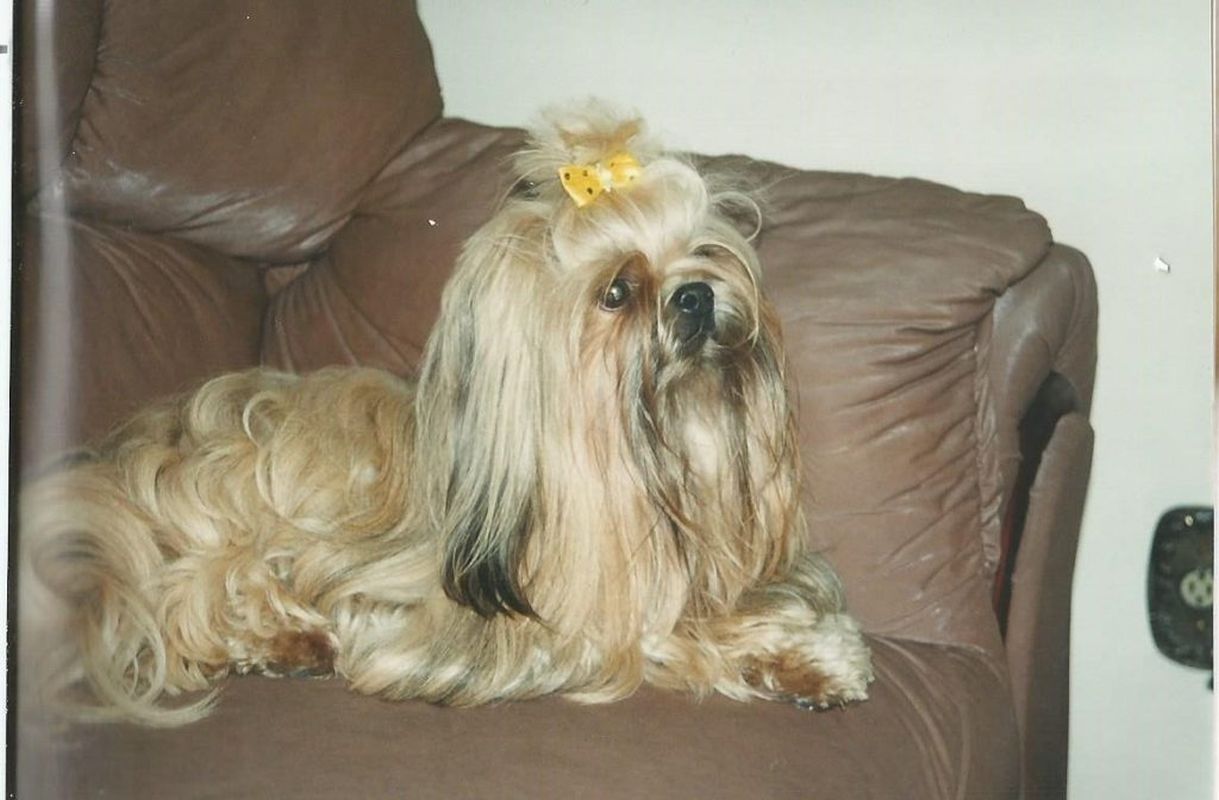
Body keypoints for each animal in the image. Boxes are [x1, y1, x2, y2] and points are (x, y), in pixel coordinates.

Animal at [20, 104, 873, 727]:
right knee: (182, 597)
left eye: (705, 255)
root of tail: (132, 450)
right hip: (235, 516)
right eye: (617, 292)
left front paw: (811, 659)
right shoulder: (495, 631)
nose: (696, 297)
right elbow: (654, 635)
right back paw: (283, 637)